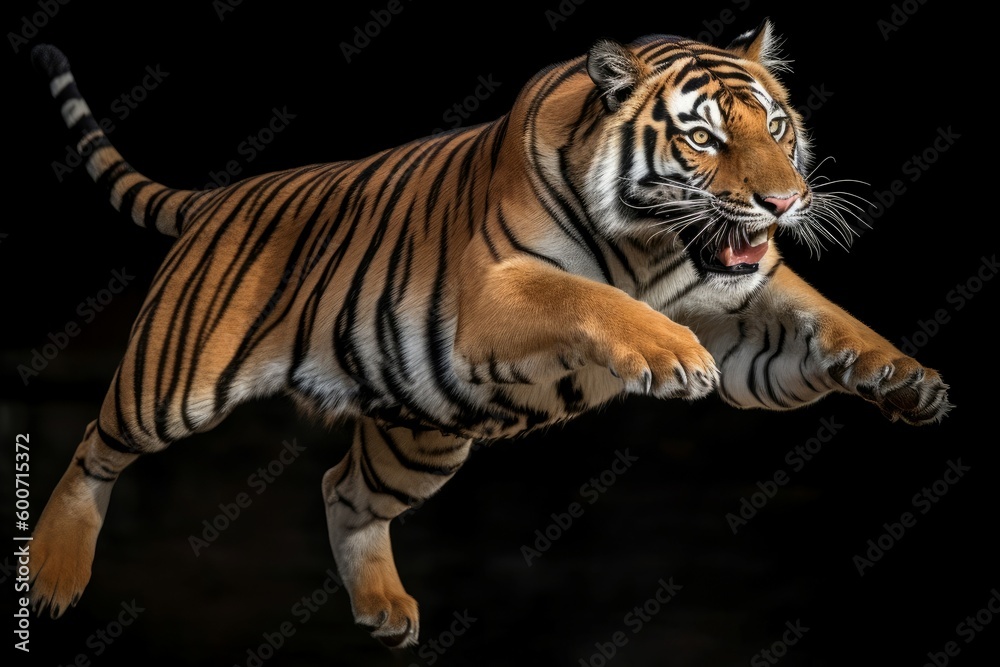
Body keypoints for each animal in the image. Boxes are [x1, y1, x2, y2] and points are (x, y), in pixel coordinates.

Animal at [28, 19, 950, 649]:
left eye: (777, 127)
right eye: (702, 136)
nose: (783, 201)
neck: (654, 249)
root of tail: (220, 197)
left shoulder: (746, 318)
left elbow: (823, 314)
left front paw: (906, 378)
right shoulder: (492, 293)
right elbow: (589, 297)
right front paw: (667, 353)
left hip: (421, 437)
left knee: (342, 488)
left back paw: (384, 611)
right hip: (175, 384)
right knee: (94, 447)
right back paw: (52, 575)